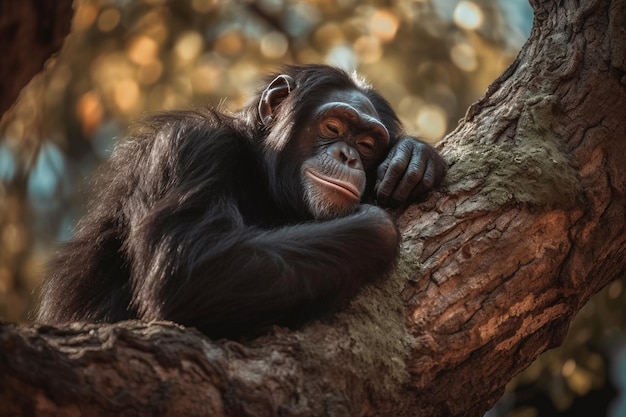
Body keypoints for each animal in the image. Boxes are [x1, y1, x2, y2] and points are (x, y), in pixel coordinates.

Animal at [36, 65, 446, 338]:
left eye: (367, 144)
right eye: (333, 127)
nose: (348, 156)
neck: (258, 170)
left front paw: (413, 157)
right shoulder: (190, 146)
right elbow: (191, 265)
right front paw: (376, 226)